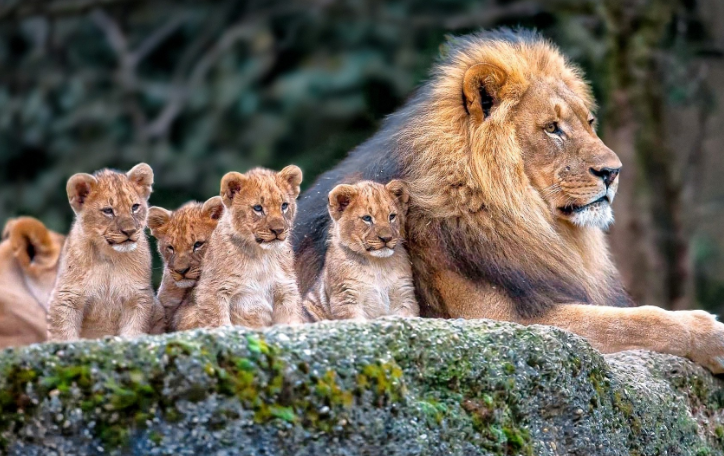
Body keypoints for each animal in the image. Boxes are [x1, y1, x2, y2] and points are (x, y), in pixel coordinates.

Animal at [48, 163, 157, 341]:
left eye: (135, 207)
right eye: (108, 211)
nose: (130, 231)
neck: (109, 257)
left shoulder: (138, 296)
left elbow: (133, 330)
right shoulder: (67, 296)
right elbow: (64, 334)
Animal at [180, 166, 304, 330]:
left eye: (284, 205)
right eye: (258, 208)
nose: (278, 230)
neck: (261, 256)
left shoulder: (285, 290)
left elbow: (291, 321)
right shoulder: (212, 291)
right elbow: (219, 323)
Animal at [302, 180, 418, 322]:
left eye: (392, 216)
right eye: (367, 218)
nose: (386, 238)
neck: (377, 264)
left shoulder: (404, 295)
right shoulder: (346, 298)